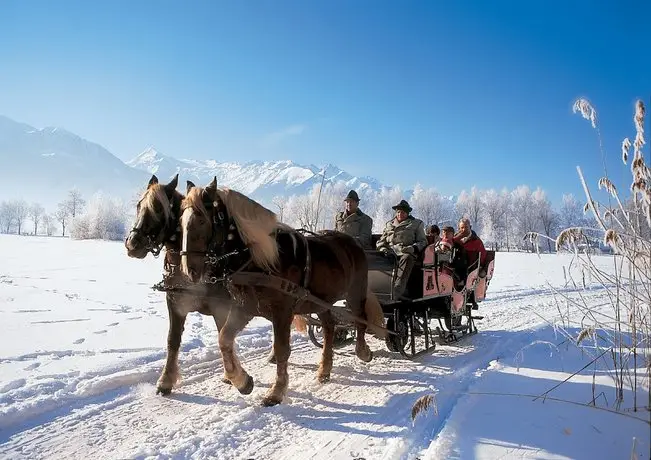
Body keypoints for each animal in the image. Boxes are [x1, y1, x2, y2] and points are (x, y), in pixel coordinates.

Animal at [123, 172, 272, 396]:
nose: (132, 244)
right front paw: (165, 380)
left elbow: (224, 336)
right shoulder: (175, 303)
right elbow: (173, 340)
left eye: (158, 208)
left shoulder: (221, 306)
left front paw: (238, 378)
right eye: (139, 205)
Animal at [178, 176, 384, 406]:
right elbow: (224, 339)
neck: (261, 261)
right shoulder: (245, 308)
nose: (189, 270)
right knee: (329, 327)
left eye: (202, 221)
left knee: (360, 320)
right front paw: (242, 381)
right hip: (320, 301)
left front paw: (276, 391)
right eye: (181, 221)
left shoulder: (282, 313)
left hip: (355, 292)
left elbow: (282, 349)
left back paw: (362, 351)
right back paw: (324, 370)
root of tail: (352, 243)